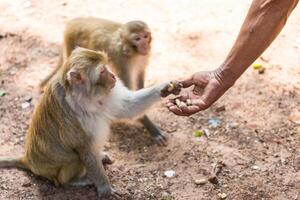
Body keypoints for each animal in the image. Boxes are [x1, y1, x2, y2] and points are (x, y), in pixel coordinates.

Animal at [1, 47, 182, 198]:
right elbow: (85, 150)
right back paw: (76, 180)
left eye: (106, 67)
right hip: (55, 174)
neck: (86, 97)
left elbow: (128, 106)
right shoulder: (76, 117)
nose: (113, 76)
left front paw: (165, 87)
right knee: (74, 159)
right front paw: (105, 189)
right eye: (102, 71)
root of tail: (28, 160)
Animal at [40, 18, 169, 145]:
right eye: (137, 39)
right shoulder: (122, 62)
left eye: (145, 36)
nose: (145, 45)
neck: (130, 52)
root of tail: (73, 22)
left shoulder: (143, 58)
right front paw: (151, 128)